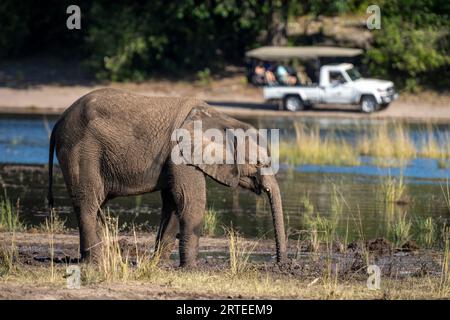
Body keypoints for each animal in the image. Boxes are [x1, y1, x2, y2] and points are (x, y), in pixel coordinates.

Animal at [47, 88, 286, 268]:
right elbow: (190, 201)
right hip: (81, 150)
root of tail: (59, 121)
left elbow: (172, 205)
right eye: (260, 164)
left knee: (96, 203)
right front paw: (190, 269)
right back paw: (95, 263)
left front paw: (157, 265)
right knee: (88, 202)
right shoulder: (180, 152)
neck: (221, 118)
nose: (280, 265)